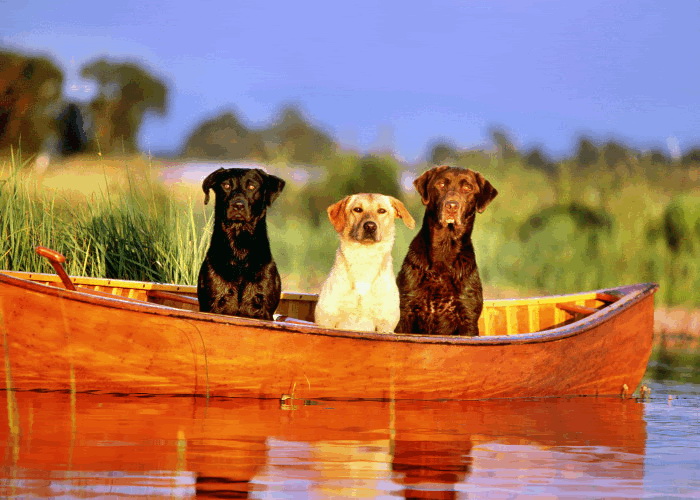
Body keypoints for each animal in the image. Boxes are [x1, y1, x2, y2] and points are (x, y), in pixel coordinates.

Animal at [394, 165, 498, 336]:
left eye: (467, 188)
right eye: (441, 184)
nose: (452, 206)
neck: (445, 247)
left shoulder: (467, 317)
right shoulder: (405, 313)